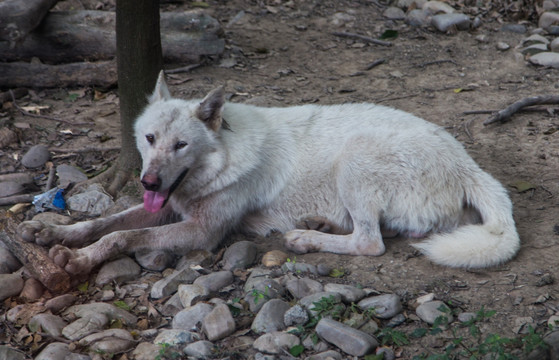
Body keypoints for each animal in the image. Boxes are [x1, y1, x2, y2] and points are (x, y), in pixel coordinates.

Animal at [17, 74, 520, 276]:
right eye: (149, 138)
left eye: (181, 146)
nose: (148, 183)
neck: (224, 154)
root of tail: (468, 163)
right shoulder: (165, 209)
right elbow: (106, 222)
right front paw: (52, 232)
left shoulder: (202, 231)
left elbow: (122, 237)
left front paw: (79, 259)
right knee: (376, 232)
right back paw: (318, 224)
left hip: (354, 159)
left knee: (370, 243)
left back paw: (305, 238)